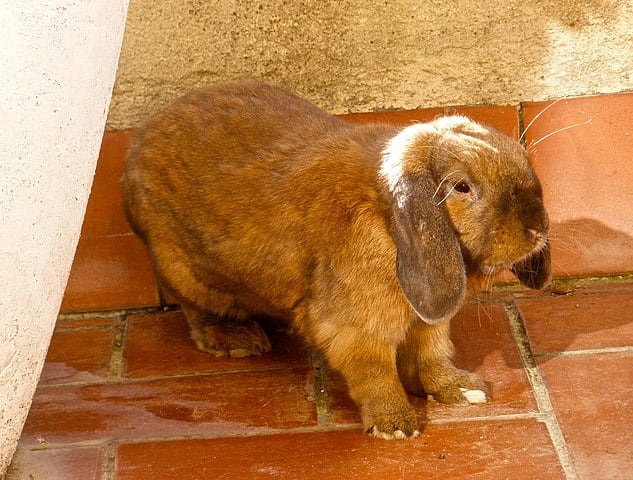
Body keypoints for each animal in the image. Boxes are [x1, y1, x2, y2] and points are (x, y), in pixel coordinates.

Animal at [122, 80, 548, 440]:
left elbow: (432, 355)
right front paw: (396, 424)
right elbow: (375, 371)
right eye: (462, 187)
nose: (538, 227)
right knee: (197, 311)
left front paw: (463, 390)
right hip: (184, 270)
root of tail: (141, 139)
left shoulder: (426, 320)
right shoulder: (355, 327)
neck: (386, 218)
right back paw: (238, 340)